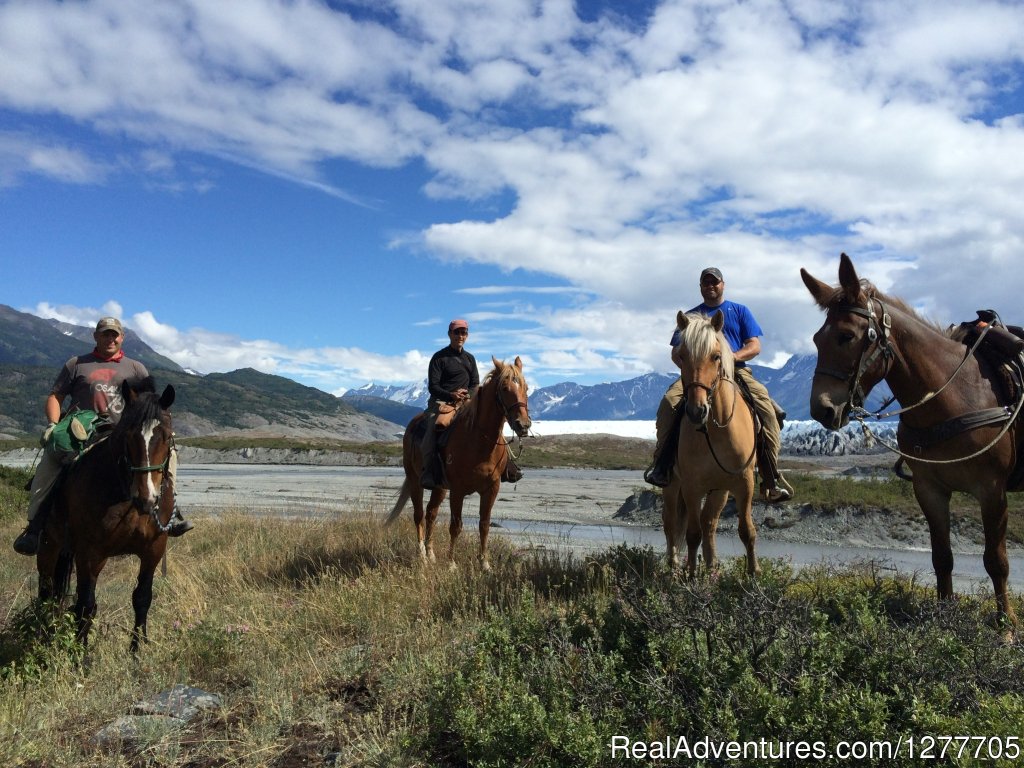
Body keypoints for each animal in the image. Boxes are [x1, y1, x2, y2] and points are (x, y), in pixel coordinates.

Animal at [36, 376, 176, 651]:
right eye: (129, 436)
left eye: (166, 437)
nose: (147, 498)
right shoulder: (91, 554)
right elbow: (86, 606)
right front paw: (81, 656)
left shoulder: (153, 550)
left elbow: (142, 598)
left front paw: (136, 652)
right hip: (48, 547)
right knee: (46, 594)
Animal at [382, 358, 528, 569]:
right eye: (505, 388)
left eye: (526, 387)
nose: (523, 424)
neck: (478, 440)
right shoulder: (458, 490)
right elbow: (455, 526)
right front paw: (451, 563)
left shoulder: (492, 488)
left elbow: (484, 524)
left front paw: (484, 563)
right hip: (415, 480)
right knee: (418, 515)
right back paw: (422, 555)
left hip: (439, 488)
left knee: (431, 513)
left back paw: (431, 554)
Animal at [663, 311, 761, 577]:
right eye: (681, 356)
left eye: (716, 356)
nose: (696, 411)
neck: (717, 431)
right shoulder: (691, 486)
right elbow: (692, 533)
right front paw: (691, 574)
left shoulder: (744, 483)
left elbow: (746, 530)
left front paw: (754, 572)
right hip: (672, 485)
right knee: (670, 522)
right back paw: (675, 565)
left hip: (719, 489)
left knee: (710, 523)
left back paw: (711, 565)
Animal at [798, 253, 1024, 630]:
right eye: (816, 338)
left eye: (846, 336)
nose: (822, 409)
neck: (954, 396)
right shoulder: (929, 489)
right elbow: (942, 557)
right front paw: (944, 619)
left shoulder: (992, 490)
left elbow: (997, 561)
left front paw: (1005, 627)